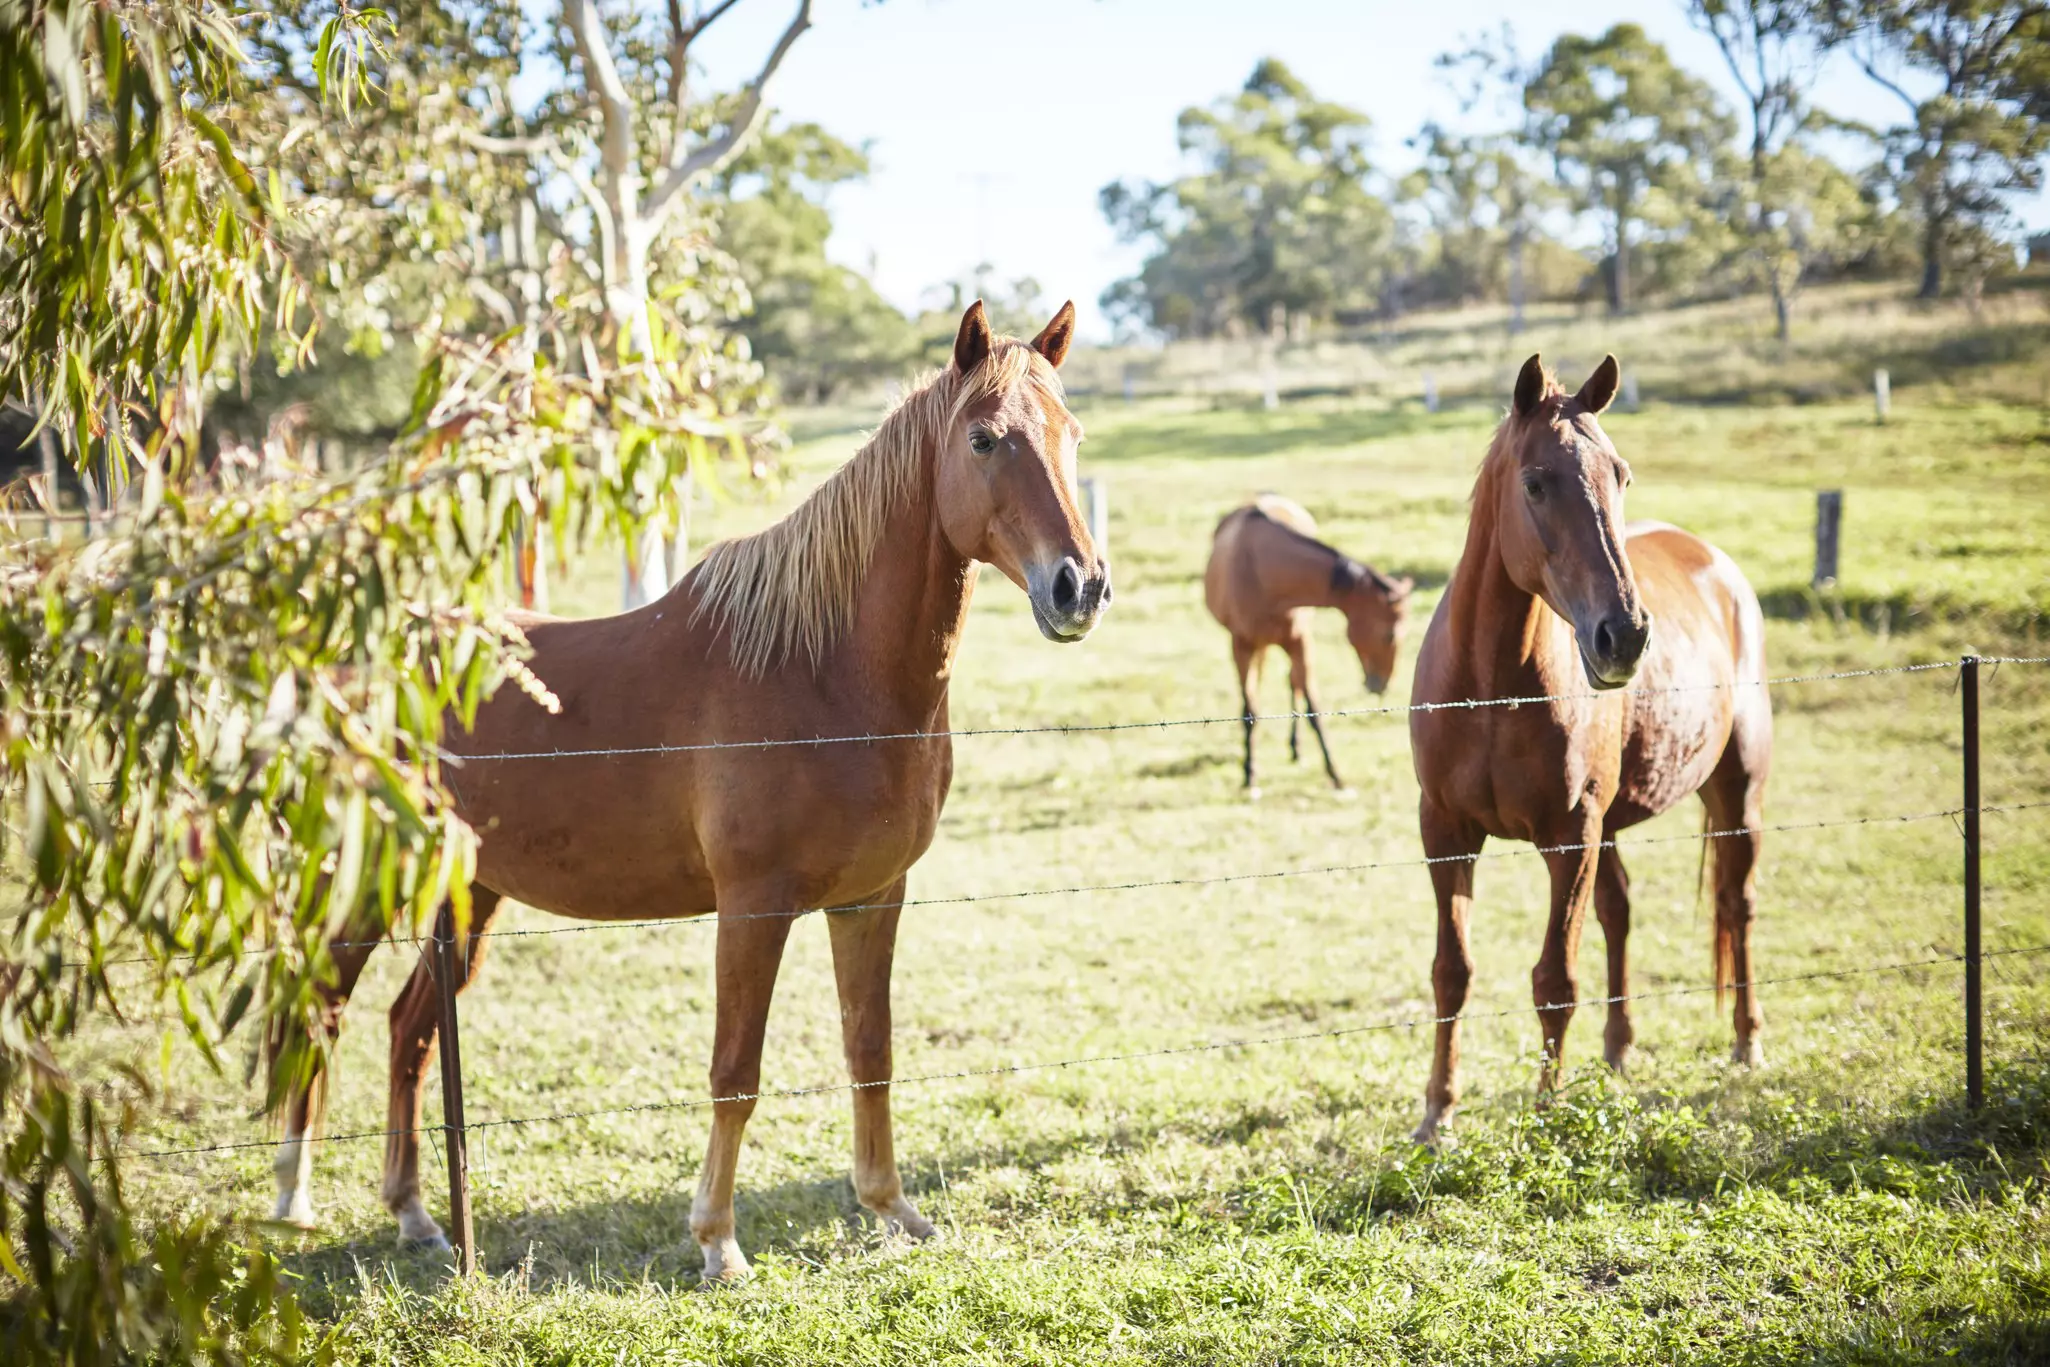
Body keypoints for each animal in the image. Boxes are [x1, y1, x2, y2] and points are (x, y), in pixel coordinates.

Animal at [268, 301, 1110, 1280]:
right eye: (983, 438)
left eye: (1071, 435)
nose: (1080, 586)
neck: (823, 670)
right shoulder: (753, 906)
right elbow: (735, 1072)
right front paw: (718, 1240)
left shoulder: (873, 899)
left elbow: (871, 1050)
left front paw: (891, 1208)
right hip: (365, 882)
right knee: (321, 1011)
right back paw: (293, 1199)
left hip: (469, 890)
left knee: (408, 1028)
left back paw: (414, 1215)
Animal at [1203, 495, 1412, 795]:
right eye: (1390, 635)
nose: (1381, 685)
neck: (1263, 573)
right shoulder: (1241, 646)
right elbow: (1250, 708)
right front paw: (1249, 773)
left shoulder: (1299, 642)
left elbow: (1313, 707)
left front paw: (1334, 774)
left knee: (1293, 684)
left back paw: (1295, 747)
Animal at [1407, 354, 1772, 1143]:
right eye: (1536, 482)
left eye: (1620, 476)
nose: (1626, 634)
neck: (1490, 689)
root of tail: (1714, 561)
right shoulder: (1446, 833)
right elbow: (1453, 971)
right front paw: (1437, 1113)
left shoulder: (1569, 837)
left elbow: (1555, 978)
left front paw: (1547, 1109)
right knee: (1622, 911)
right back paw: (1618, 1050)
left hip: (1737, 792)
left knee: (1737, 904)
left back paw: (1747, 1041)